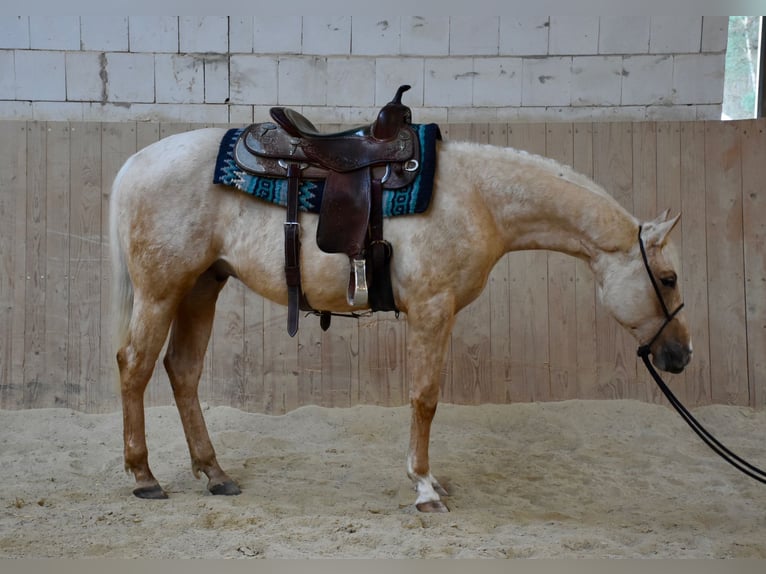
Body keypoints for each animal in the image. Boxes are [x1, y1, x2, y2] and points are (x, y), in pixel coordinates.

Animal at [109, 127, 692, 512]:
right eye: (667, 279)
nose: (681, 355)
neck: (478, 198)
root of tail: (134, 162)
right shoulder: (433, 310)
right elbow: (425, 398)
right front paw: (425, 487)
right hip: (161, 291)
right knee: (134, 365)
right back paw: (144, 476)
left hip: (202, 287)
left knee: (182, 371)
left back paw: (215, 473)